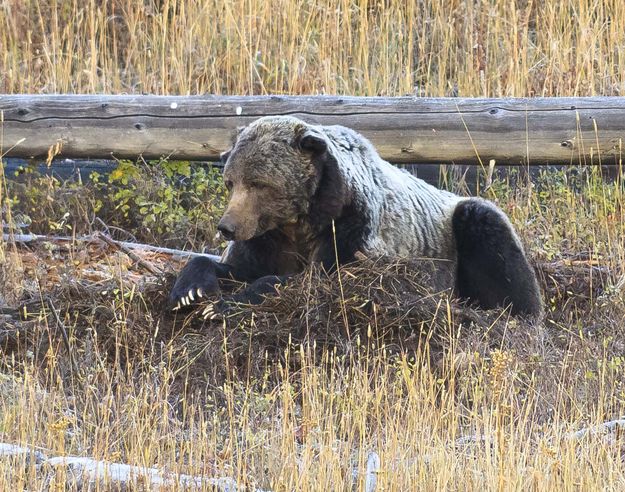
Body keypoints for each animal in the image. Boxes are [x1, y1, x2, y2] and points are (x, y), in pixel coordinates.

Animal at [169, 115, 540, 316]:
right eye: (231, 181)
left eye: (260, 183)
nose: (227, 227)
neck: (300, 221)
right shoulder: (268, 238)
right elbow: (237, 266)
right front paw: (190, 290)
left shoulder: (351, 226)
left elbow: (316, 276)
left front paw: (223, 304)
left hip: (454, 231)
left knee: (490, 237)